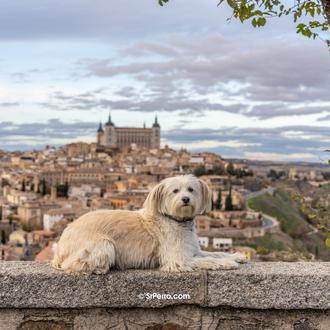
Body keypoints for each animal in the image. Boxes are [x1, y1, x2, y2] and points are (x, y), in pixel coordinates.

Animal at [52, 175, 245, 274]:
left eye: (191, 189)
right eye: (175, 191)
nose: (185, 199)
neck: (176, 221)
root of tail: (60, 245)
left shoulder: (193, 250)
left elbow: (215, 253)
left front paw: (235, 256)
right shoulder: (178, 259)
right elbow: (208, 260)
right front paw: (227, 263)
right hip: (104, 245)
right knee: (73, 265)